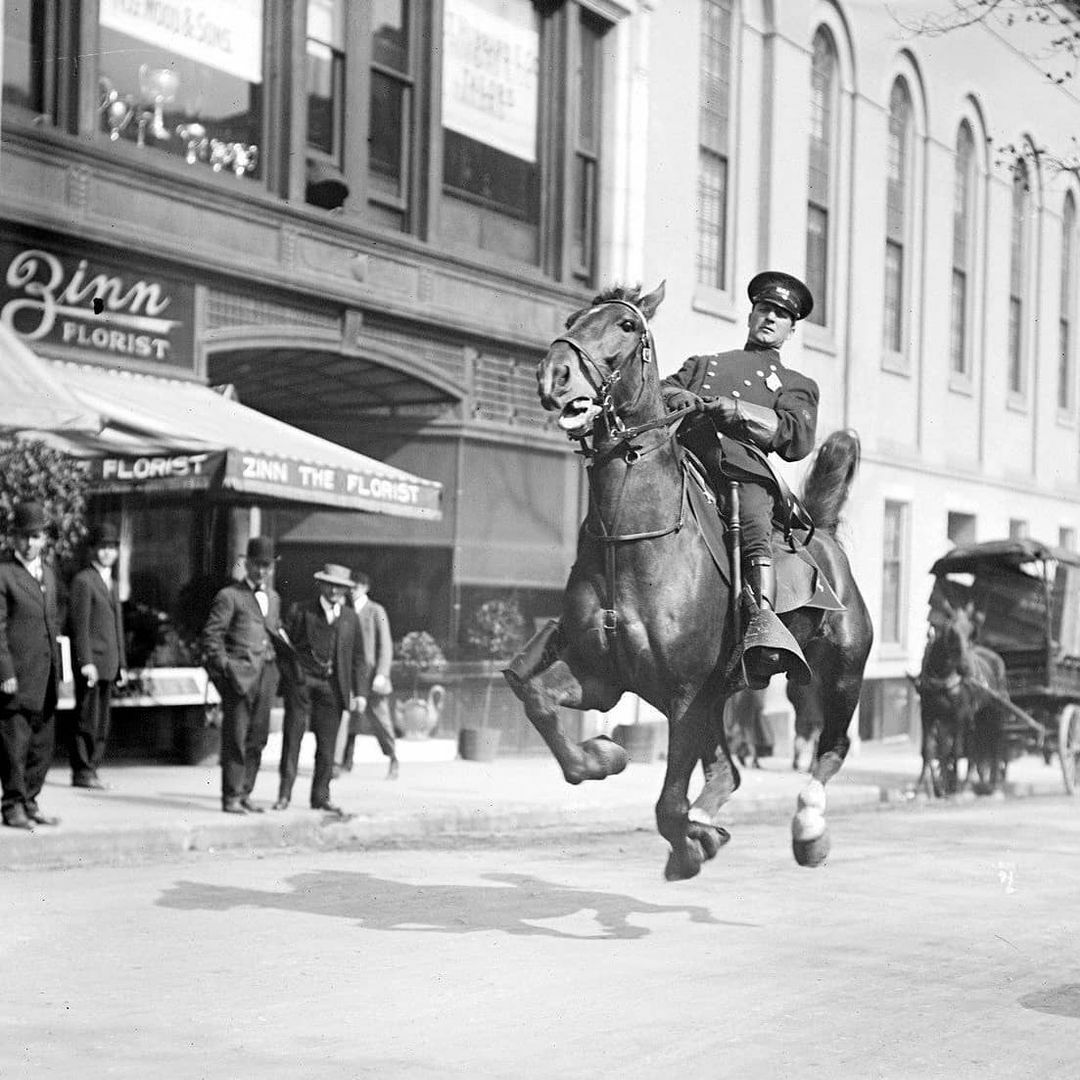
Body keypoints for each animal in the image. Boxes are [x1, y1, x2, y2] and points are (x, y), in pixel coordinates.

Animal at [501, 280, 872, 876]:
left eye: (627, 326)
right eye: (572, 319)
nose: (553, 375)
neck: (631, 540)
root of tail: (826, 536)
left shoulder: (684, 694)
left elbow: (668, 804)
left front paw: (689, 843)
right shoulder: (604, 676)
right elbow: (537, 699)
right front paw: (604, 756)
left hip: (839, 676)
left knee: (830, 749)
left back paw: (808, 830)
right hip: (720, 694)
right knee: (728, 770)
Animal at [915, 596, 1006, 799]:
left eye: (971, 632)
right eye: (951, 632)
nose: (965, 668)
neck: (942, 674)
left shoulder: (958, 715)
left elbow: (955, 751)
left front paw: (953, 789)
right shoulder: (928, 714)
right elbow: (929, 751)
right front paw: (924, 791)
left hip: (994, 714)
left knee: (994, 745)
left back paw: (993, 786)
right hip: (975, 718)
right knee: (974, 748)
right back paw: (970, 784)